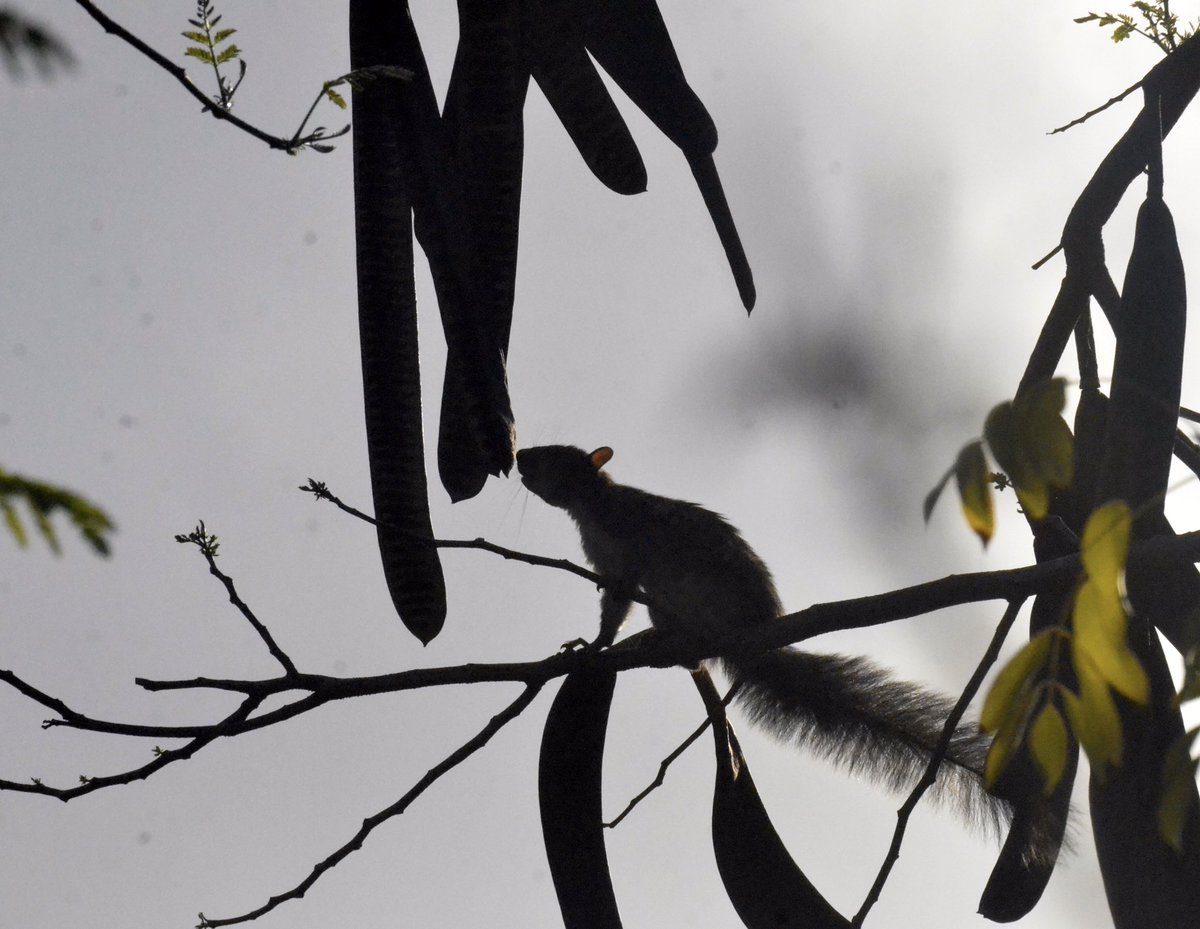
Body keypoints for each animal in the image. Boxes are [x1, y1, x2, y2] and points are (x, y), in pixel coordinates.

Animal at [516, 443, 1055, 861]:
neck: (594, 504)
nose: (520, 457)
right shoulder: (608, 566)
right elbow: (613, 605)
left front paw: (597, 644)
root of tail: (752, 637)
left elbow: (621, 596)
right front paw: (595, 643)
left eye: (557, 454)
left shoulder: (626, 549)